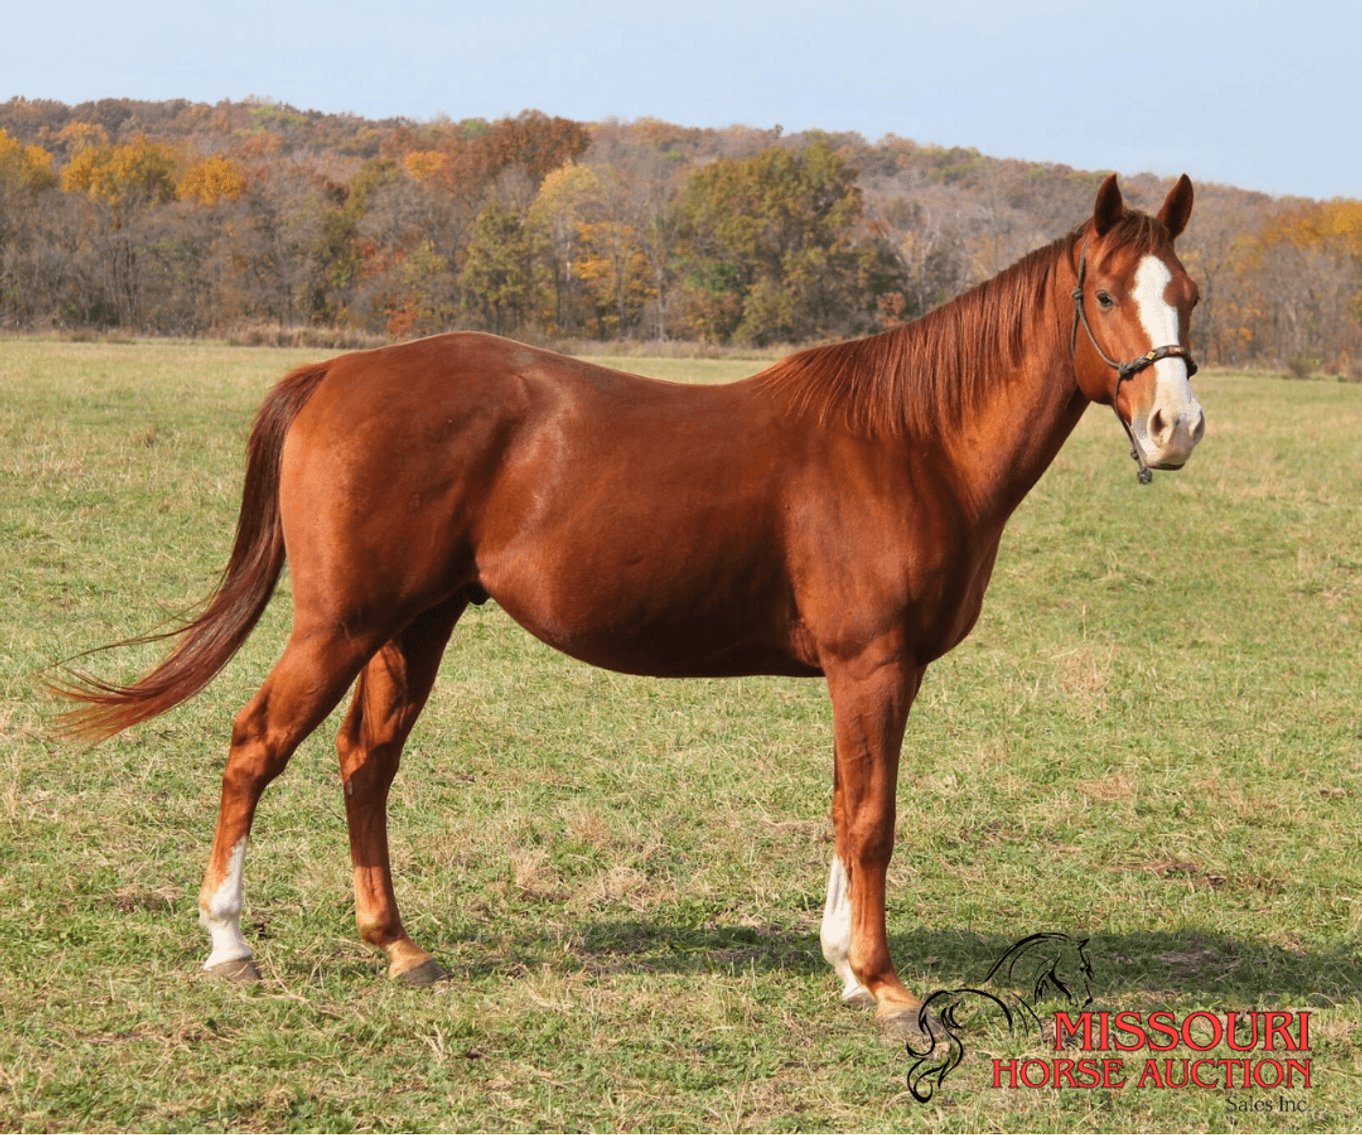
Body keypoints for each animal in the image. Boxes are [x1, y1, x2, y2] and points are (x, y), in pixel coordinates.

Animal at [56, 173, 1204, 1026]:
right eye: (1107, 295)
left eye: (1188, 292)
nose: (1175, 428)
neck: (907, 439)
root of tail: (336, 372)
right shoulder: (871, 663)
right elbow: (873, 817)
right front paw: (880, 983)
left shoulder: (877, 671)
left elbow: (844, 805)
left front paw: (840, 960)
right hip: (340, 623)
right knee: (257, 744)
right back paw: (229, 940)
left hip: (412, 624)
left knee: (364, 761)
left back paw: (398, 945)